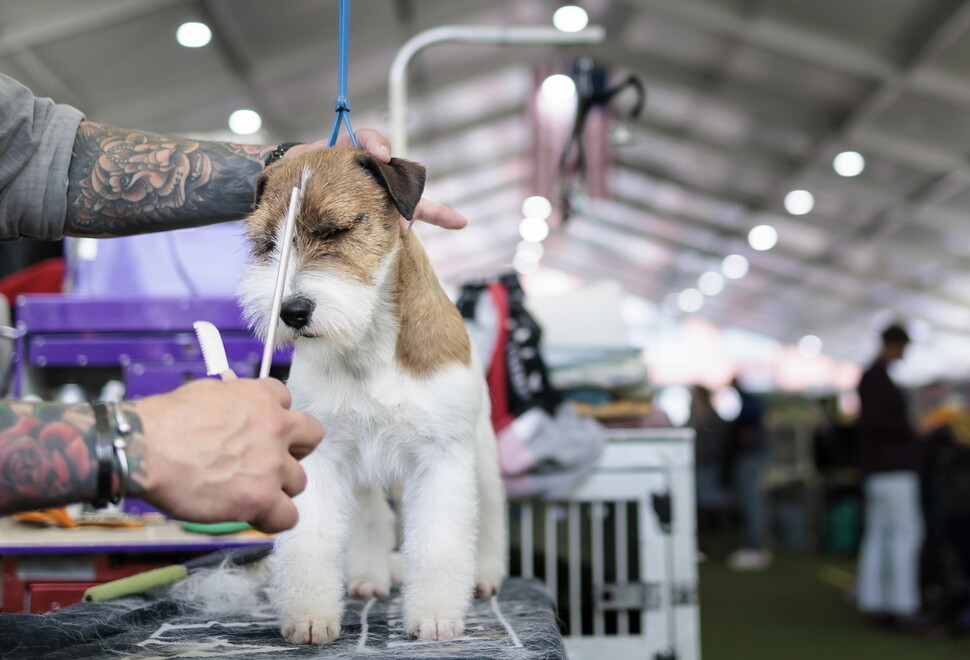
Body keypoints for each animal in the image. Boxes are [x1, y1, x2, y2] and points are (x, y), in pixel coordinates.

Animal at [237, 146, 506, 644]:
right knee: (370, 522)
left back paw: (484, 575)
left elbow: (440, 544)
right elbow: (310, 542)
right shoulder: (322, 458)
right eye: (267, 244)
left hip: (479, 456)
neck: (371, 342)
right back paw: (369, 577)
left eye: (336, 229)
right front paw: (309, 615)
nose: (292, 311)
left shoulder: (442, 458)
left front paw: (436, 616)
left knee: (491, 515)